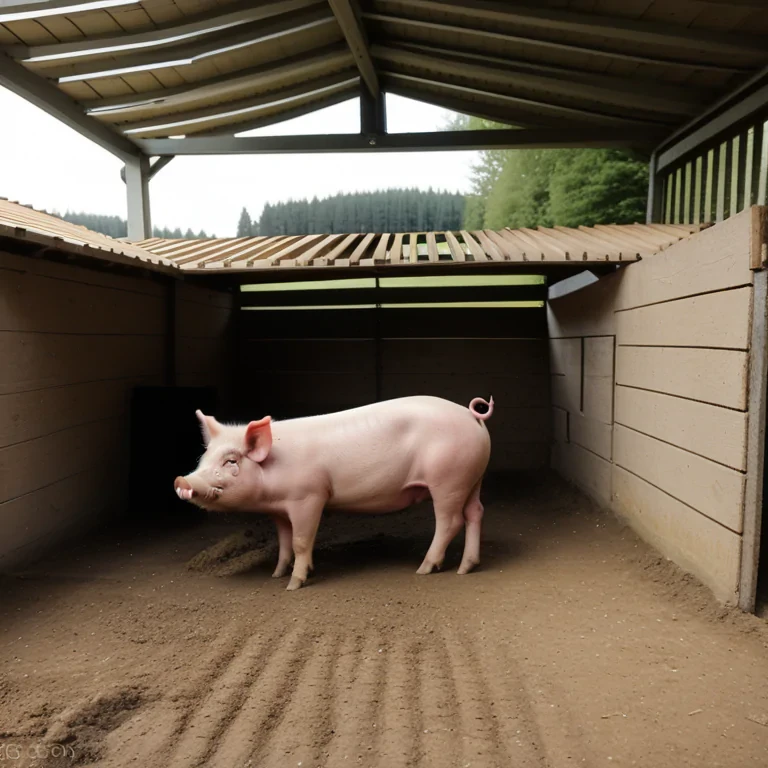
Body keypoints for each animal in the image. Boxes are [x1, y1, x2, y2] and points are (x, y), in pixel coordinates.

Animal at [174, 395, 493, 591]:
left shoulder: (309, 496)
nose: (182, 480)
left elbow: (301, 540)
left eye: (231, 461)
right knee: (475, 513)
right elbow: (284, 542)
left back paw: (425, 568)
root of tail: (470, 415)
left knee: (450, 521)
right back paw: (466, 567)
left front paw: (294, 584)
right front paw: (278, 573)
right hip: (471, 478)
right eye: (204, 457)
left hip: (448, 480)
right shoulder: (279, 510)